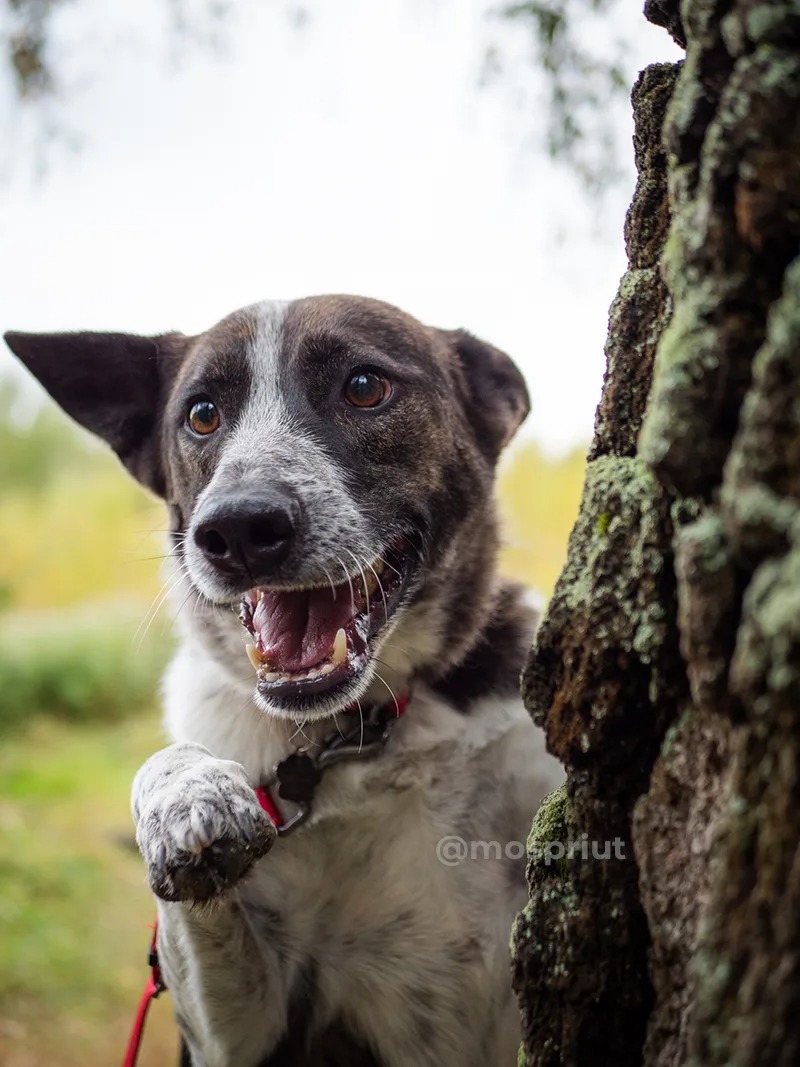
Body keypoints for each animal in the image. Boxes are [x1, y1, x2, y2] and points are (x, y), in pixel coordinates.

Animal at [4, 294, 563, 1067]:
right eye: (202, 413)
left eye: (365, 386)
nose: (238, 529)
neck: (353, 738)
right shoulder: (243, 1037)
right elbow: (167, 767)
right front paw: (189, 799)